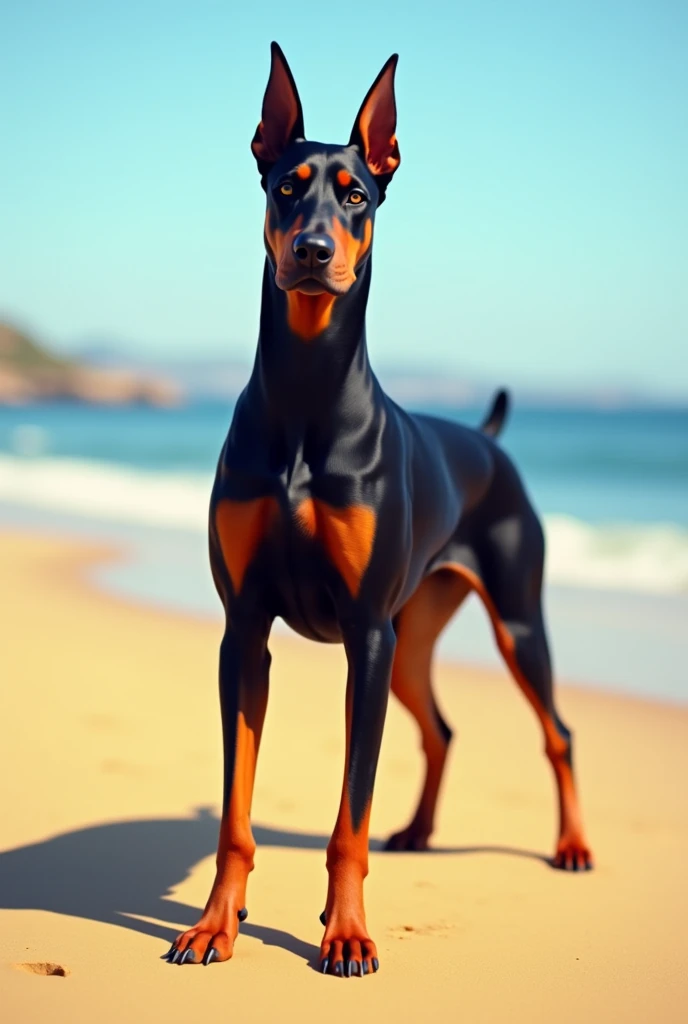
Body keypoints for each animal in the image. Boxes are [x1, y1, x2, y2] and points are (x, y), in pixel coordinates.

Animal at [161, 44, 589, 978]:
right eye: (287, 186)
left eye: (355, 192)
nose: (314, 249)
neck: (306, 396)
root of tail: (486, 441)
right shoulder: (245, 628)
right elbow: (235, 813)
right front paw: (215, 924)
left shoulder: (364, 632)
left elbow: (346, 819)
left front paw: (348, 933)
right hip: (414, 632)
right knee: (443, 728)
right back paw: (420, 831)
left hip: (509, 619)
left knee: (559, 732)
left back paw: (572, 846)